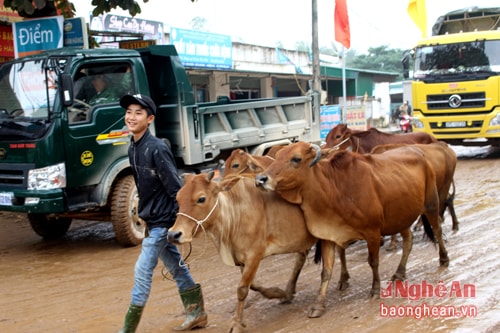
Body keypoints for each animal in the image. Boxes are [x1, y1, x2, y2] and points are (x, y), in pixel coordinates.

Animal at [168, 172, 324, 330]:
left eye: (201, 199)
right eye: (178, 198)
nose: (173, 234)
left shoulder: (254, 255)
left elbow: (242, 289)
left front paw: (236, 323)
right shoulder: (242, 260)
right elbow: (253, 285)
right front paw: (278, 293)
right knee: (301, 257)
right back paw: (289, 291)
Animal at [254, 141, 450, 316]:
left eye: (296, 159)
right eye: (277, 156)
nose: (260, 179)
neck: (335, 189)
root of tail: (418, 151)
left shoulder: (373, 232)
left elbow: (373, 262)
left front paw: (375, 290)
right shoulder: (329, 237)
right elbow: (326, 272)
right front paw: (318, 305)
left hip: (431, 203)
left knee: (437, 230)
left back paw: (444, 259)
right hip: (401, 217)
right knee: (408, 241)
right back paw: (399, 273)